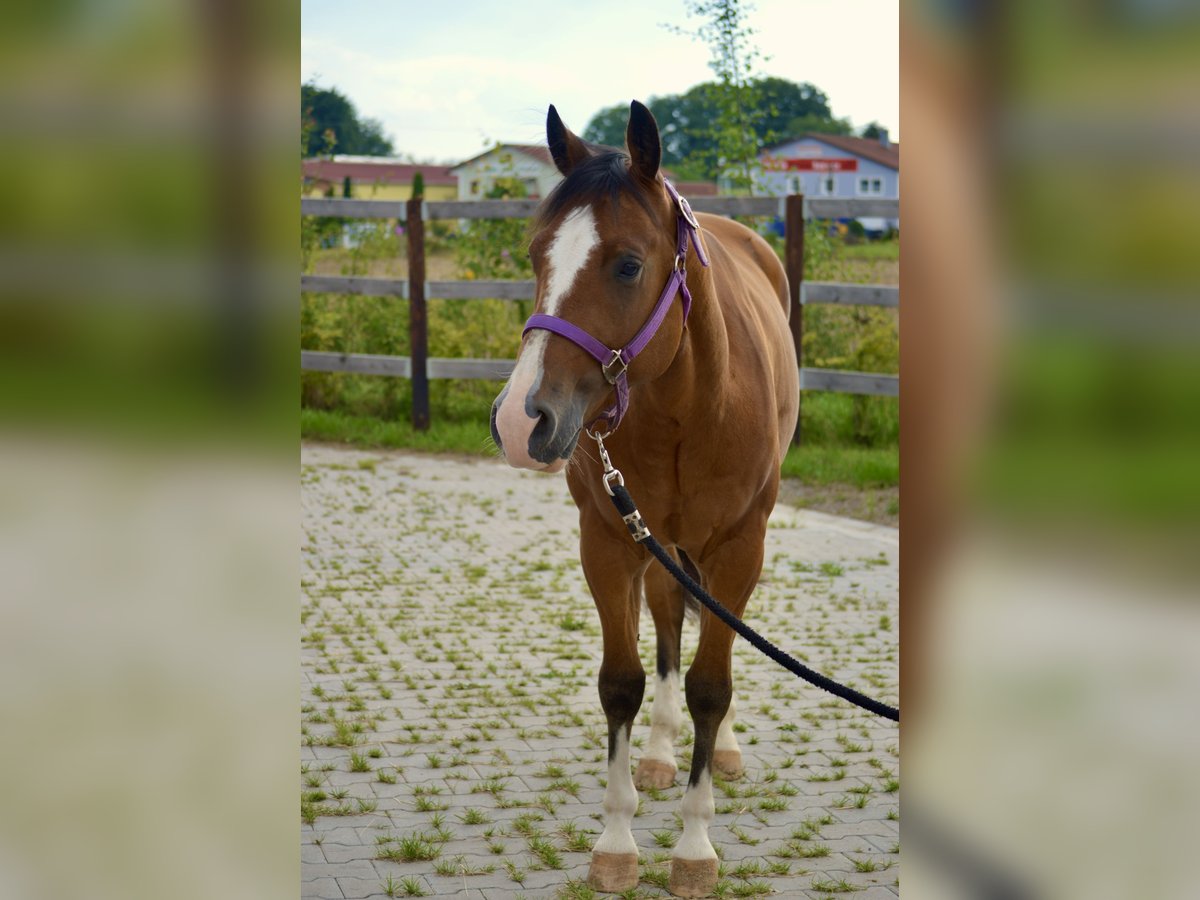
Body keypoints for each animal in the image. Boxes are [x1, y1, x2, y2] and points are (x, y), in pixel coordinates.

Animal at [490, 101, 799, 897]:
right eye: (536, 257)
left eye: (628, 264)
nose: (521, 421)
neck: (688, 407)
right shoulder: (608, 540)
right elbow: (623, 682)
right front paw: (618, 839)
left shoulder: (740, 547)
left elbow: (712, 685)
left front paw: (693, 848)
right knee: (665, 622)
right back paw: (661, 756)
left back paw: (721, 753)